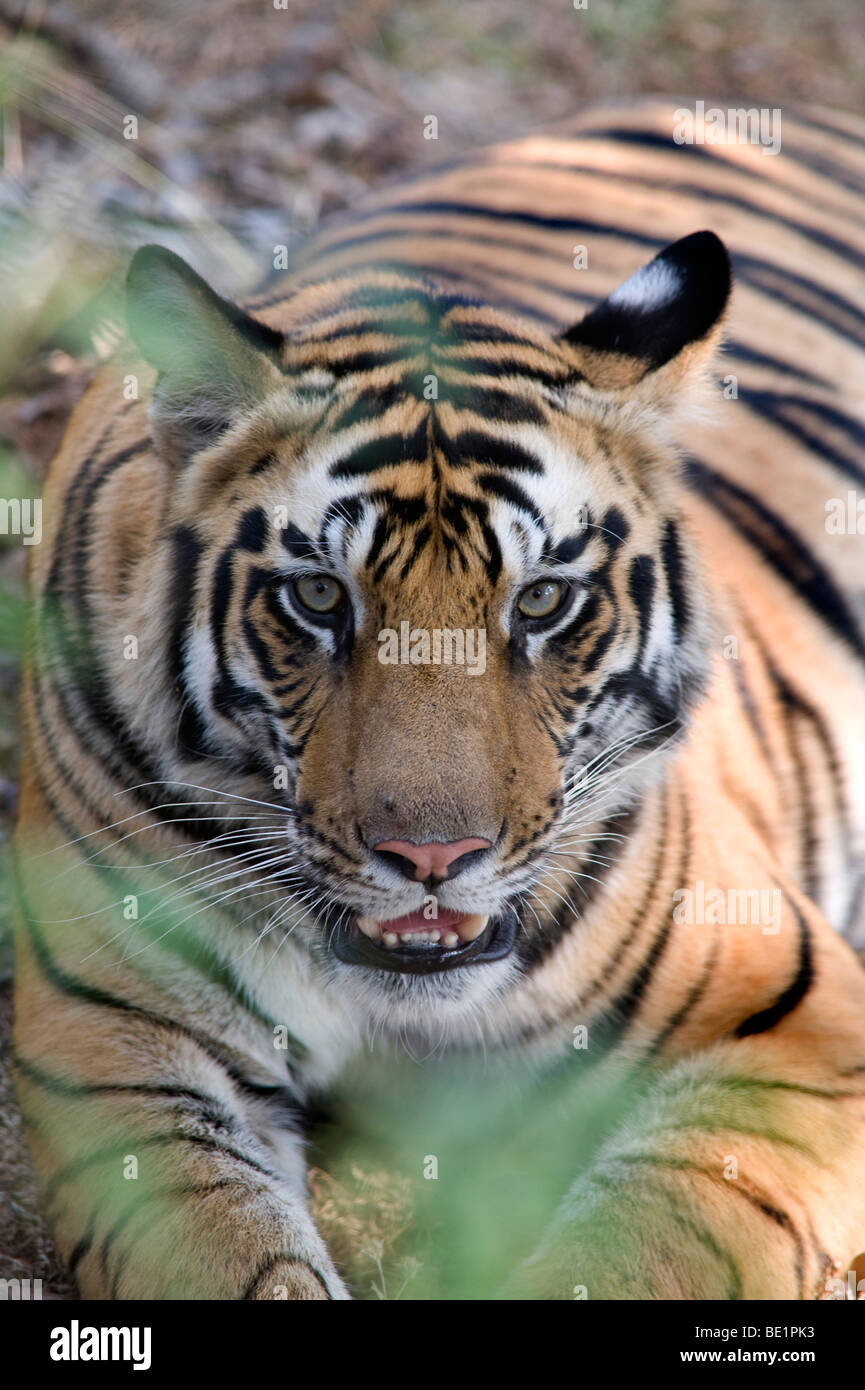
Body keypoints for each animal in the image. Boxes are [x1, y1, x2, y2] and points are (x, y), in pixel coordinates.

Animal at [10, 100, 865, 1301]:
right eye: (320, 596)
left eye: (542, 599)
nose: (431, 859)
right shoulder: (115, 1039)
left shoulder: (793, 1022)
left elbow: (644, 1248)